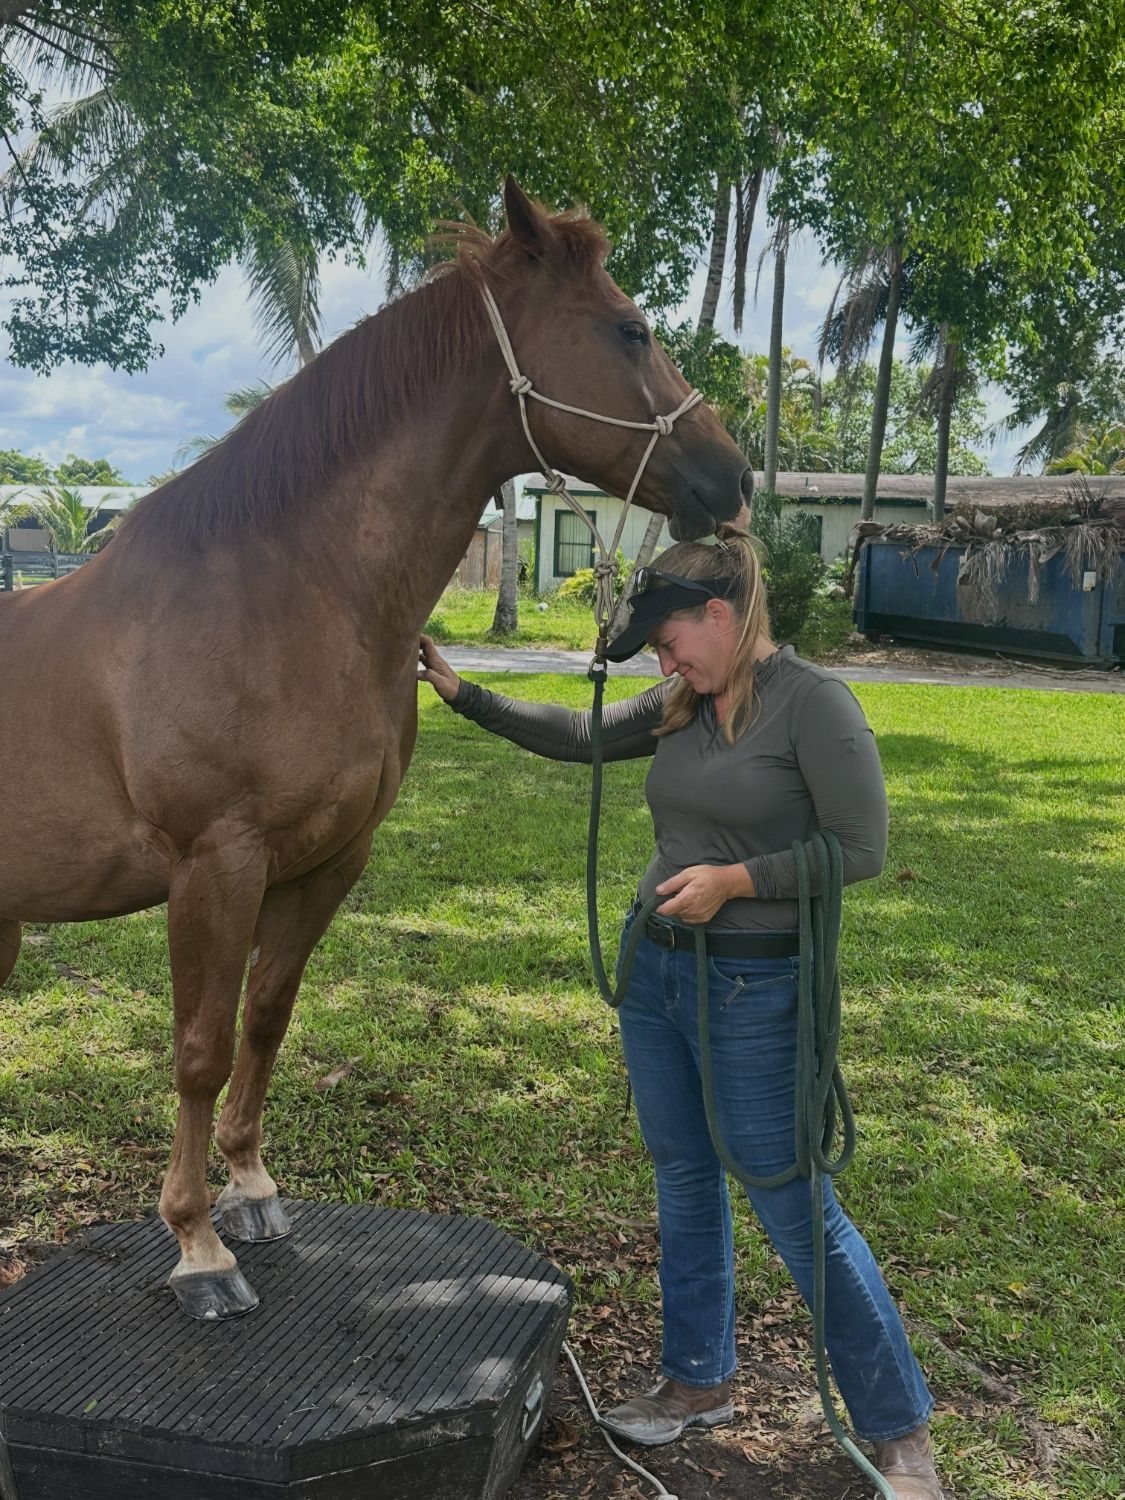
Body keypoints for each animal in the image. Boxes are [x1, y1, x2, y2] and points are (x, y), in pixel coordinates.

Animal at [0, 176, 752, 1318]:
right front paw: (198, 1246)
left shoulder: (324, 860)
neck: (285, 595)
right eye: (630, 329)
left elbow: (265, 1018)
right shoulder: (214, 865)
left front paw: (253, 1192)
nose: (734, 474)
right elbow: (198, 1049)